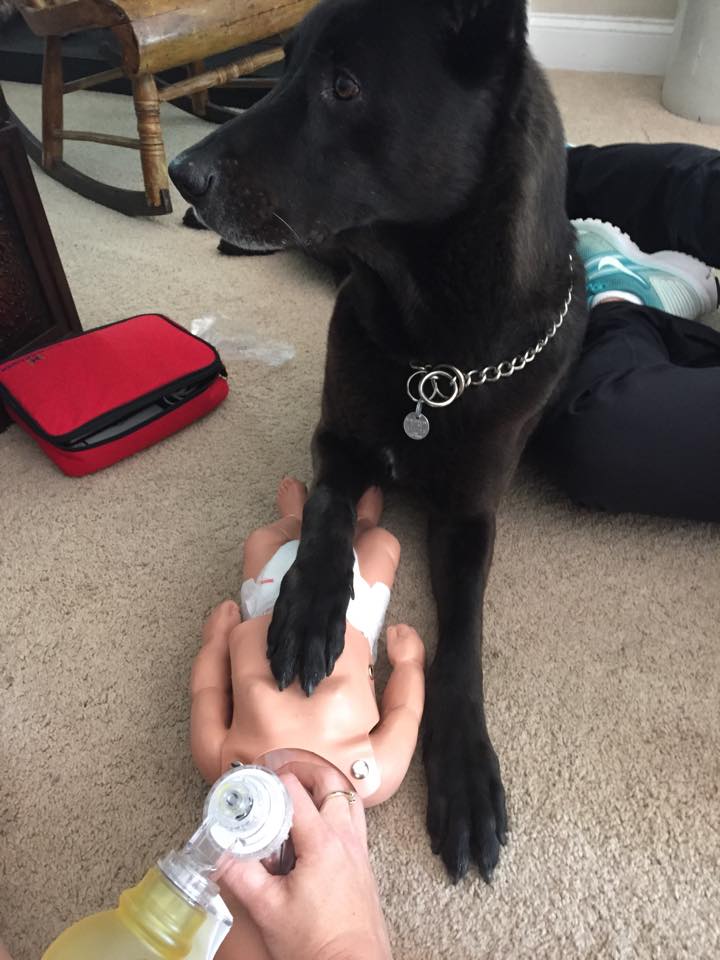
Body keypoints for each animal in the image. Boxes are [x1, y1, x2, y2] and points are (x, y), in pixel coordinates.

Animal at [169, 0, 588, 882]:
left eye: (344, 85)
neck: (435, 358)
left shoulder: (469, 516)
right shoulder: (337, 439)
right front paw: (308, 608)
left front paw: (464, 772)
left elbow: (461, 638)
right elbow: (327, 506)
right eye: (284, 65)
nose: (184, 176)